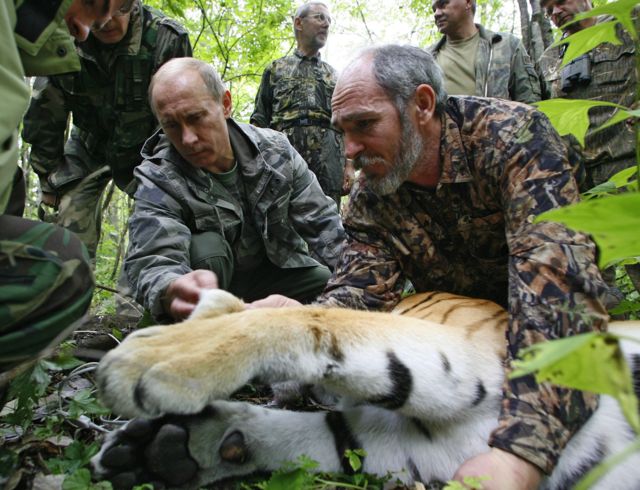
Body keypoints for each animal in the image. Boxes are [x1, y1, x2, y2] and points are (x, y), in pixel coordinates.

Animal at [92, 289, 640, 489]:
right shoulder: (435, 446)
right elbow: (322, 434)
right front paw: (164, 451)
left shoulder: (471, 356)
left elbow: (310, 314)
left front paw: (160, 355)